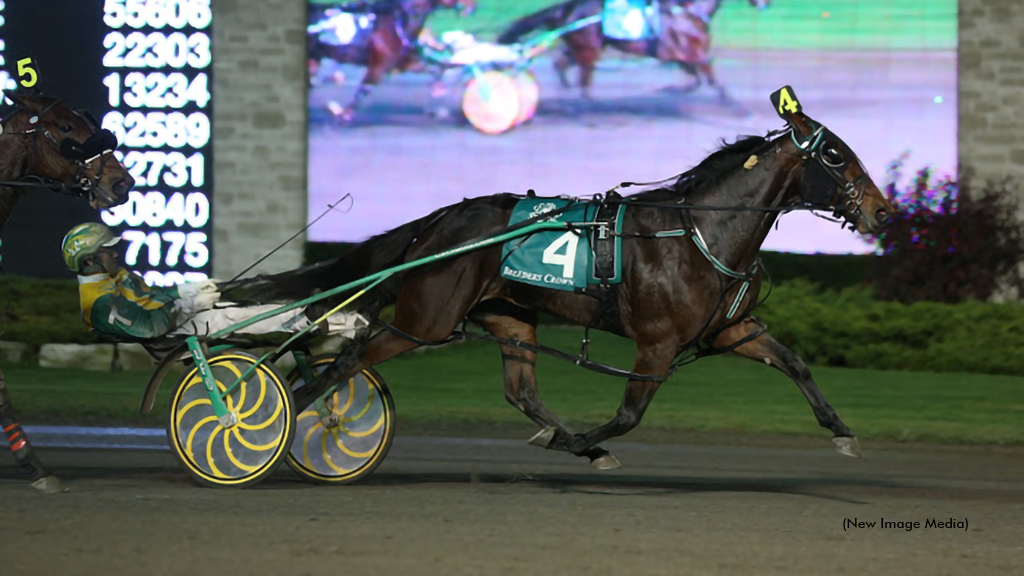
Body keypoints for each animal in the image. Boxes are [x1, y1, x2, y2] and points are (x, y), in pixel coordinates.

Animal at [226, 87, 897, 469]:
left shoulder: (730, 329)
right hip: (427, 320)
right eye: (835, 154)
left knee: (520, 390)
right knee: (350, 358)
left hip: (508, 315)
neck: (699, 233)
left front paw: (843, 433)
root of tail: (438, 222)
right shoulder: (657, 343)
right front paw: (581, 444)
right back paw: (278, 422)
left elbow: (795, 363)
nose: (884, 212)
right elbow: (629, 414)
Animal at [305, 0, 477, 119]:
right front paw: (341, 114)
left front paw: (438, 104)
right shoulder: (378, 66)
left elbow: (436, 70)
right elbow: (362, 93)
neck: (397, 21)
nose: (472, 5)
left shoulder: (406, 62)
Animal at [495, 0, 770, 101]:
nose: (765, 4)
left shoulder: (680, 56)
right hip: (589, 48)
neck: (688, 12)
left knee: (562, 64)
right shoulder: (691, 53)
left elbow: (695, 81)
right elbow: (710, 79)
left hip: (583, 46)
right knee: (583, 78)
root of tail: (566, 9)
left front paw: (668, 90)